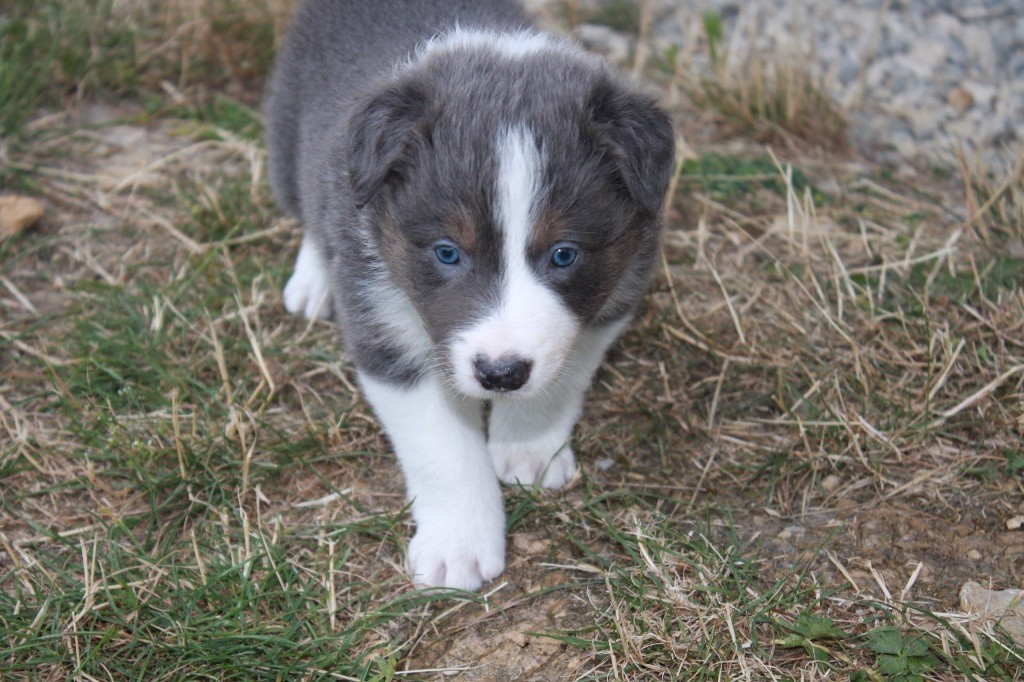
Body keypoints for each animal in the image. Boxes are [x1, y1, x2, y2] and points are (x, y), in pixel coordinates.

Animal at [268, 0, 675, 585]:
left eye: (564, 254)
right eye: (446, 252)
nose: (500, 374)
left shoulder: (614, 295)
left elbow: (561, 375)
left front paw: (527, 448)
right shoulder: (382, 327)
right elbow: (442, 448)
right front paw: (457, 547)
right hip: (288, 141)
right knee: (307, 211)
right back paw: (313, 282)